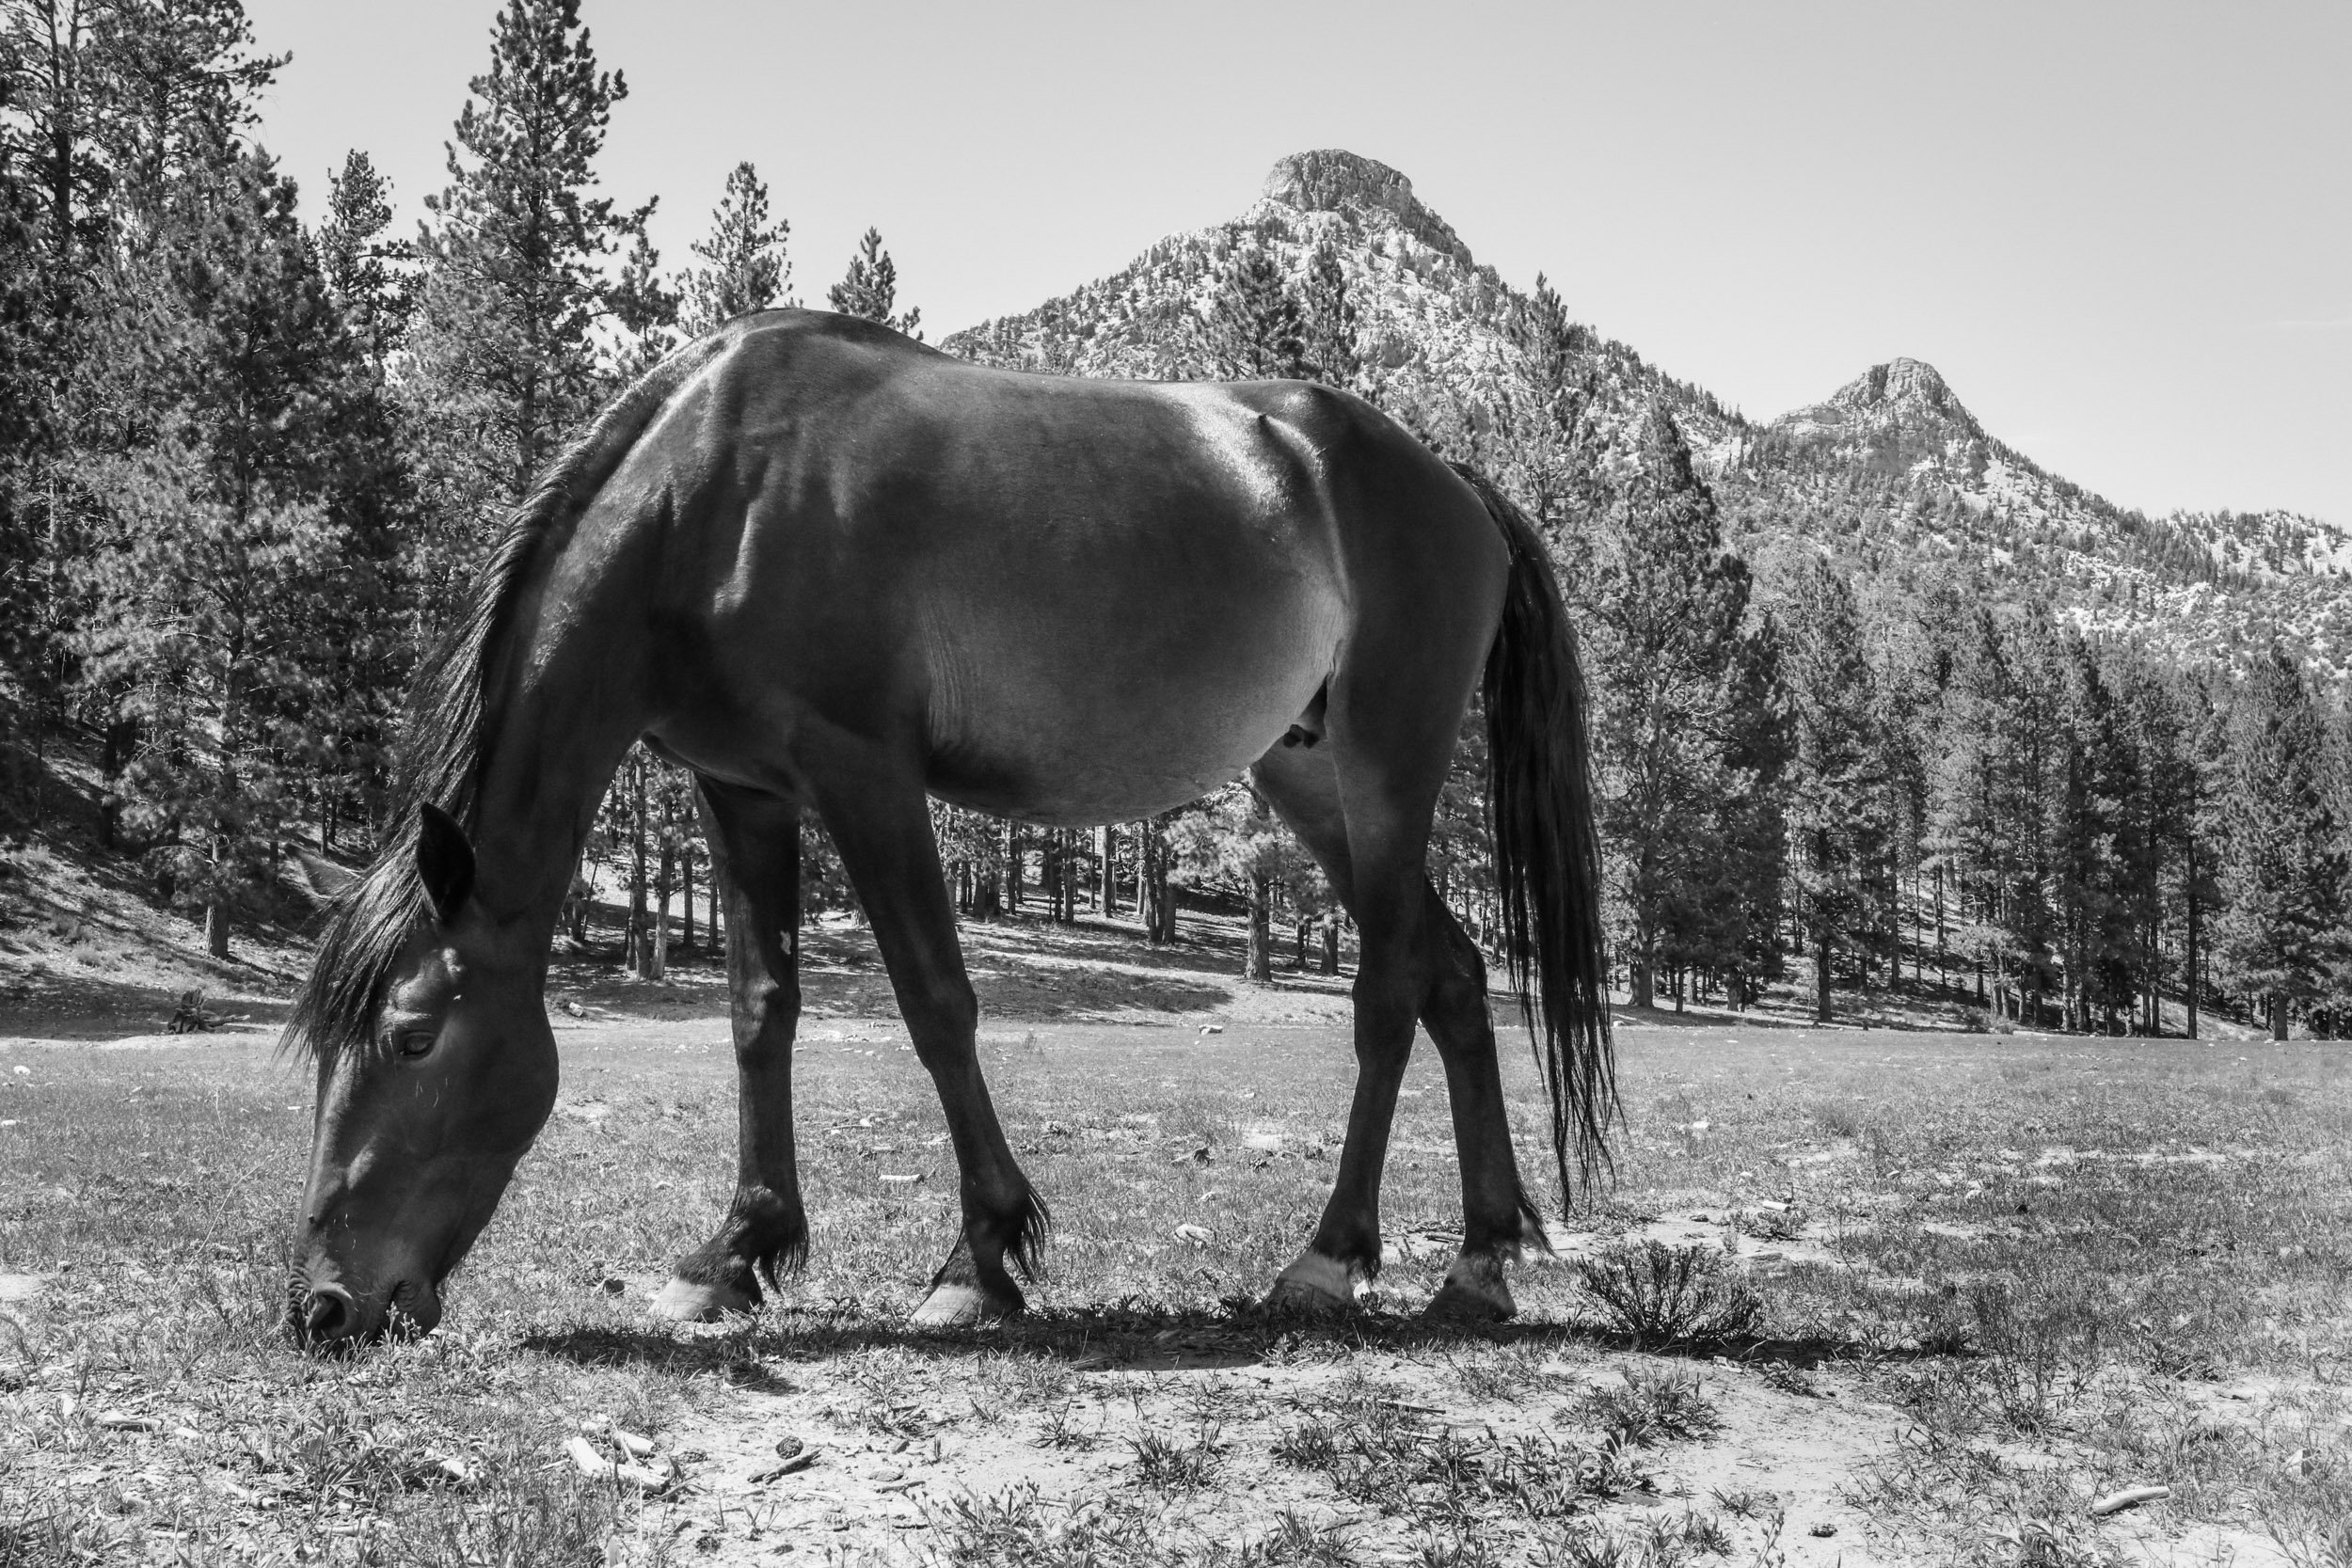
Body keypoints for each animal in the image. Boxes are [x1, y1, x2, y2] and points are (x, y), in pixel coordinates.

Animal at [282, 308, 1612, 1347]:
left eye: (410, 1035)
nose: (323, 1307)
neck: (716, 503)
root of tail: (1454, 483)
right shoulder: (742, 788)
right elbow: (759, 1010)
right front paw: (733, 1254)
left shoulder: (865, 775)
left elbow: (935, 1001)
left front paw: (979, 1261)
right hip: (1311, 780)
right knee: (1454, 975)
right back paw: (1480, 1261)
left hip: (1386, 774)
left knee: (1388, 991)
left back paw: (1330, 1257)